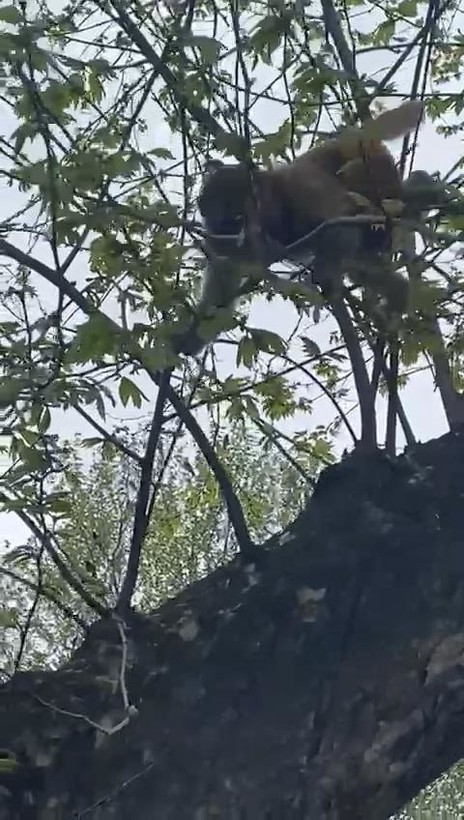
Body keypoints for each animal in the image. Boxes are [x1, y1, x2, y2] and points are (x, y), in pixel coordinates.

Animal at [179, 97, 426, 354]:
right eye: (211, 208)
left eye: (226, 204)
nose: (213, 218)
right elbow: (223, 285)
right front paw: (190, 337)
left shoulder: (300, 189)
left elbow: (339, 224)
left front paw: (324, 270)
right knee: (364, 264)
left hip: (372, 165)